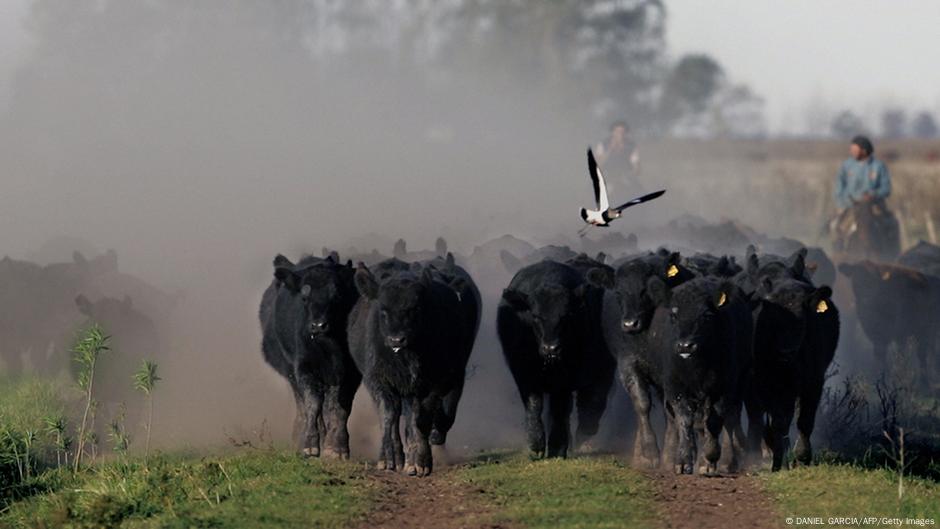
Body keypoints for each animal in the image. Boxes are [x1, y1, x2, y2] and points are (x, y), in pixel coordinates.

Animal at [258, 254, 362, 456]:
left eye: (336, 295)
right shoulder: (304, 368)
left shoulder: (350, 373)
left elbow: (340, 407)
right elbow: (312, 404)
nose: (318, 326)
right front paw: (310, 444)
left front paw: (337, 447)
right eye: (305, 297)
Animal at [348, 260, 478, 474]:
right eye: (383, 310)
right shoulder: (377, 380)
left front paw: (420, 461)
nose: (396, 339)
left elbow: (420, 420)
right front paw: (388, 459)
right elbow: (388, 416)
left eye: (414, 309)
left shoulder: (433, 383)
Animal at [496, 260, 612, 458]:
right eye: (535, 316)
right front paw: (535, 444)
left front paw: (557, 447)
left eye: (566, 315)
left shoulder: (566, 380)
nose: (551, 348)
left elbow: (561, 409)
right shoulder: (523, 373)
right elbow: (534, 405)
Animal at [648, 276, 756, 474]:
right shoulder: (675, 387)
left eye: (706, 316)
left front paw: (711, 456)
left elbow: (714, 421)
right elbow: (684, 420)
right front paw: (683, 461)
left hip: (740, 381)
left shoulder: (723, 388)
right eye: (674, 315)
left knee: (730, 418)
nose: (685, 346)